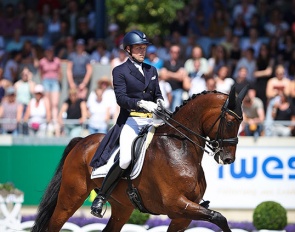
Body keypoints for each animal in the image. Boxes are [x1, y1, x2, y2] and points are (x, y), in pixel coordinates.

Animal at [31, 86, 249, 231]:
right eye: (231, 122)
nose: (228, 159)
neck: (180, 148)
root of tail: (82, 141)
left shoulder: (182, 215)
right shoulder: (177, 204)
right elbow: (219, 217)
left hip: (122, 207)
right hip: (70, 197)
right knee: (54, 225)